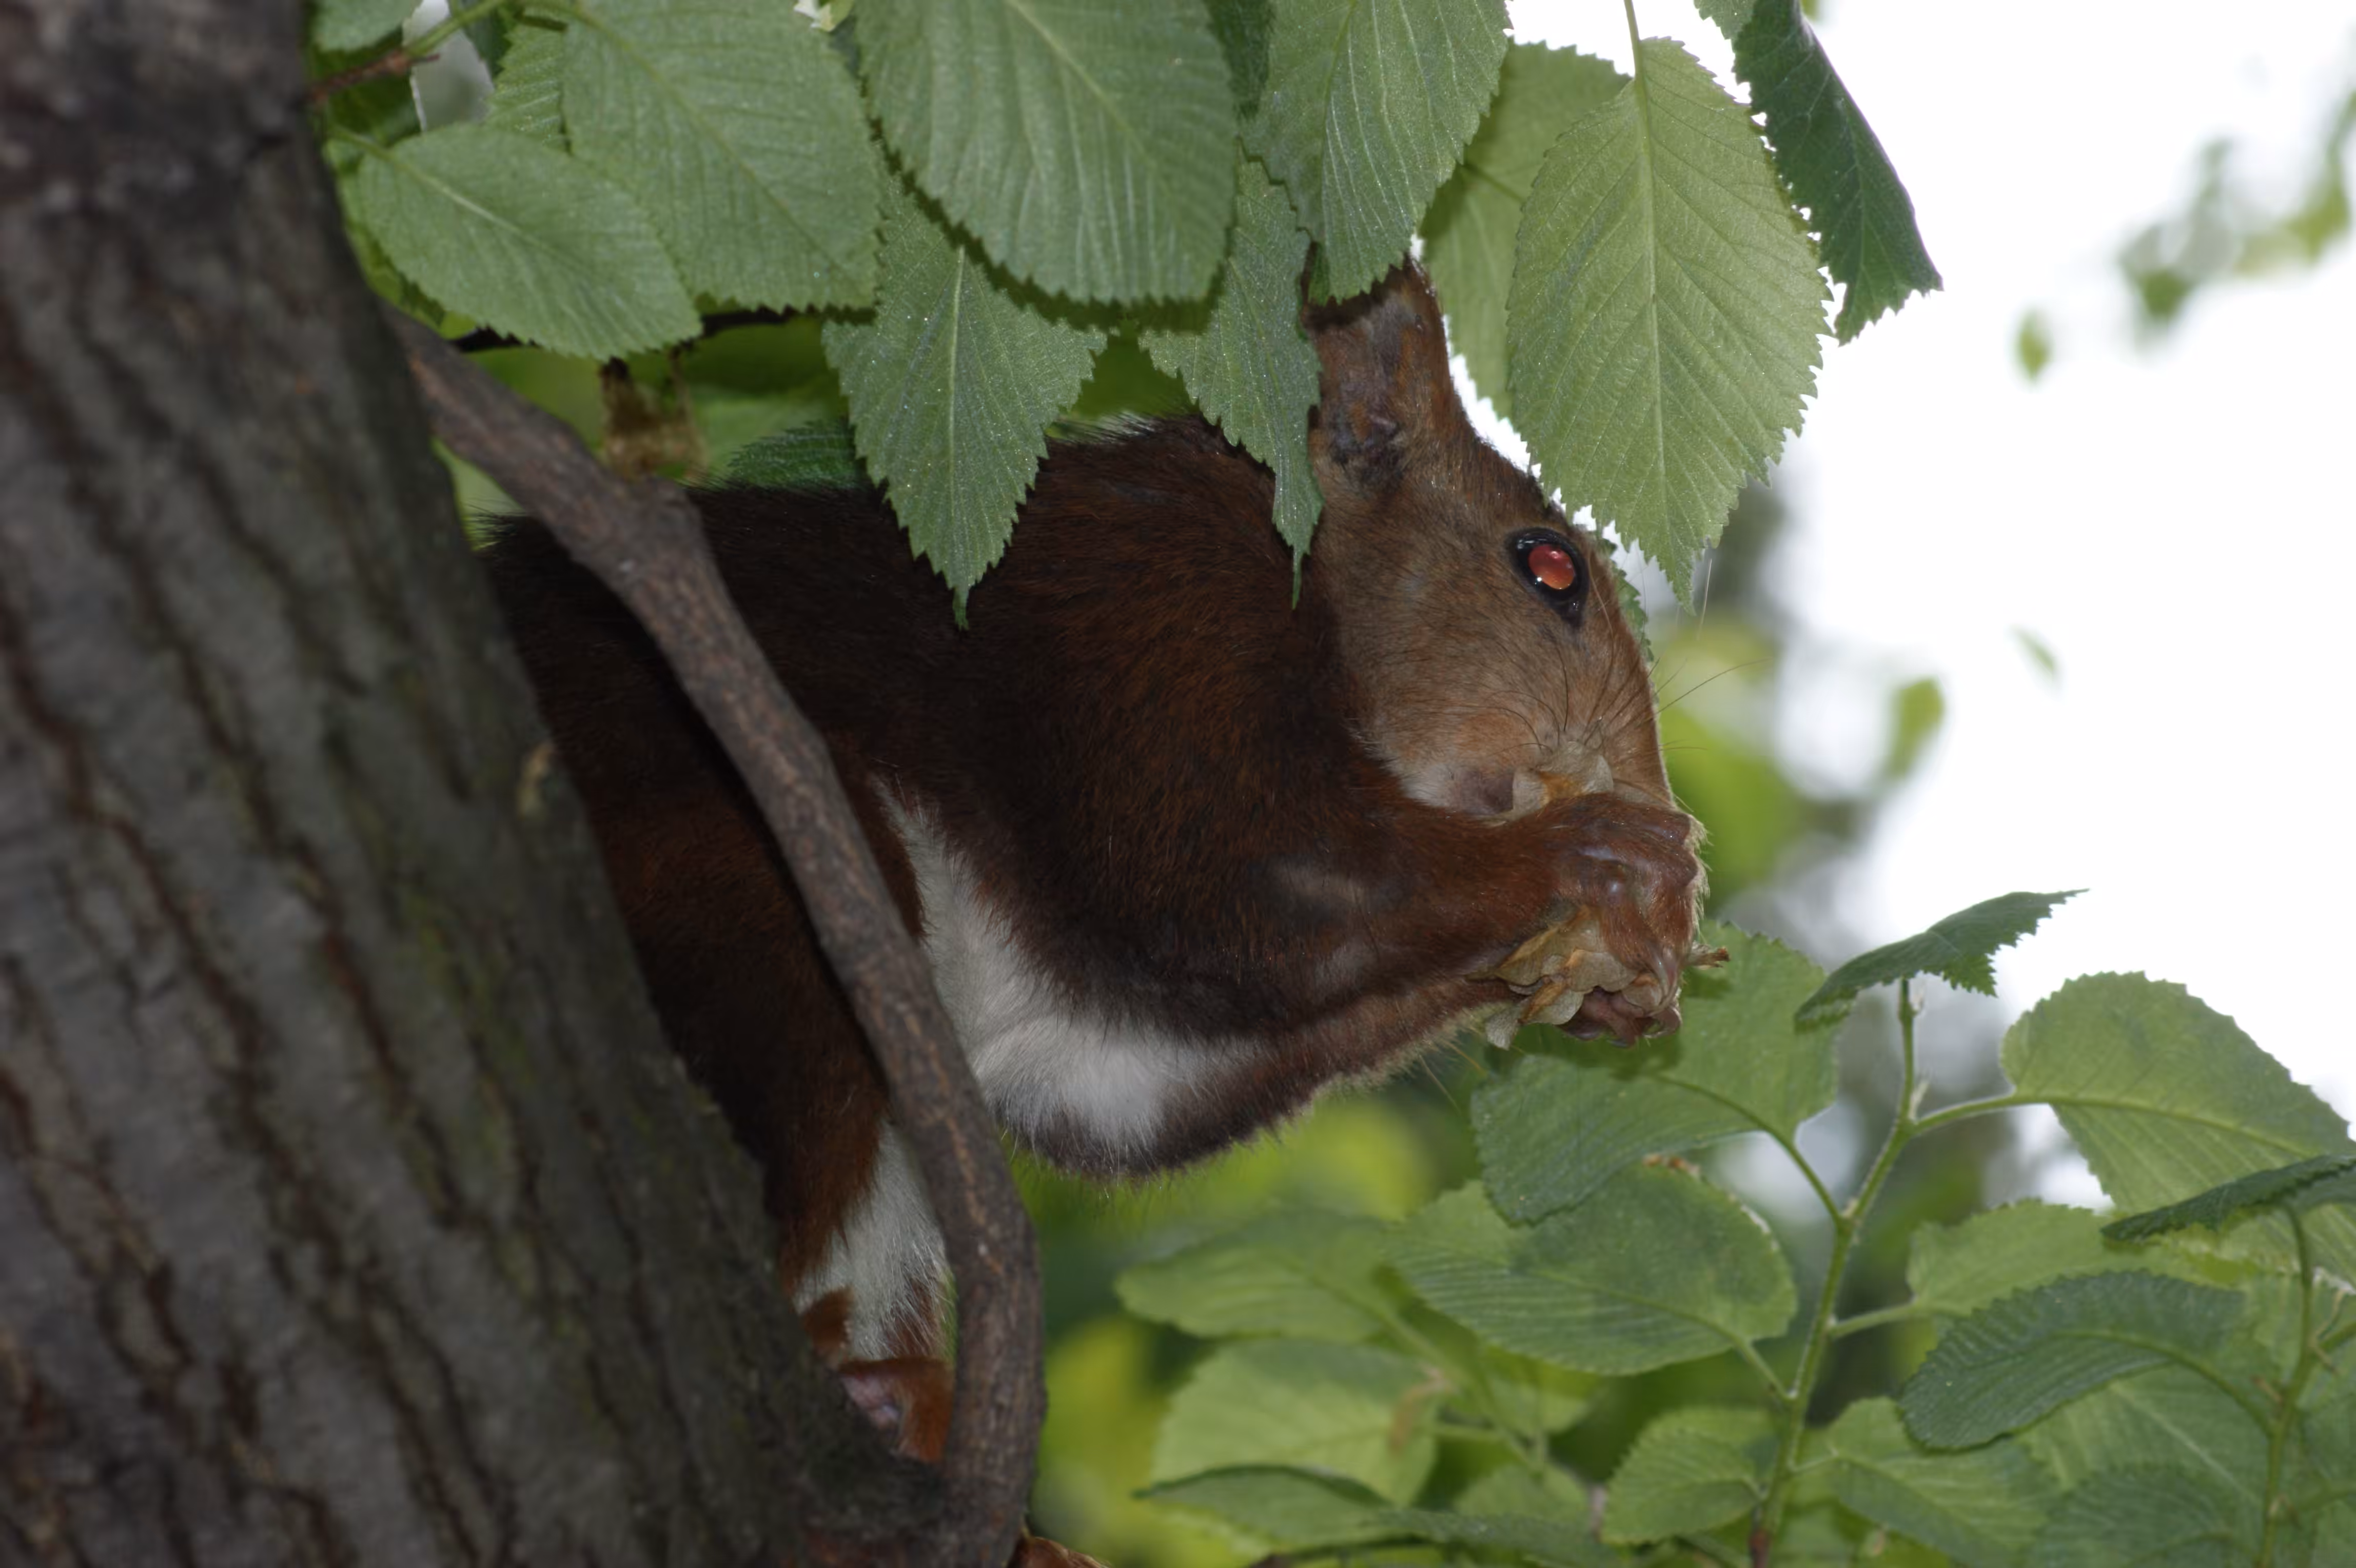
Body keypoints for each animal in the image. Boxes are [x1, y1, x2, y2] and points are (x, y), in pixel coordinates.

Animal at [481, 263, 1706, 1465]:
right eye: (1547, 565)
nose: (1650, 793)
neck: (1310, 580)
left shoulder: (1080, 1040)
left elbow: (1130, 1083)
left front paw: (1604, 983)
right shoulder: (1151, 628)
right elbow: (1250, 880)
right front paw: (1600, 857)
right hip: (750, 902)